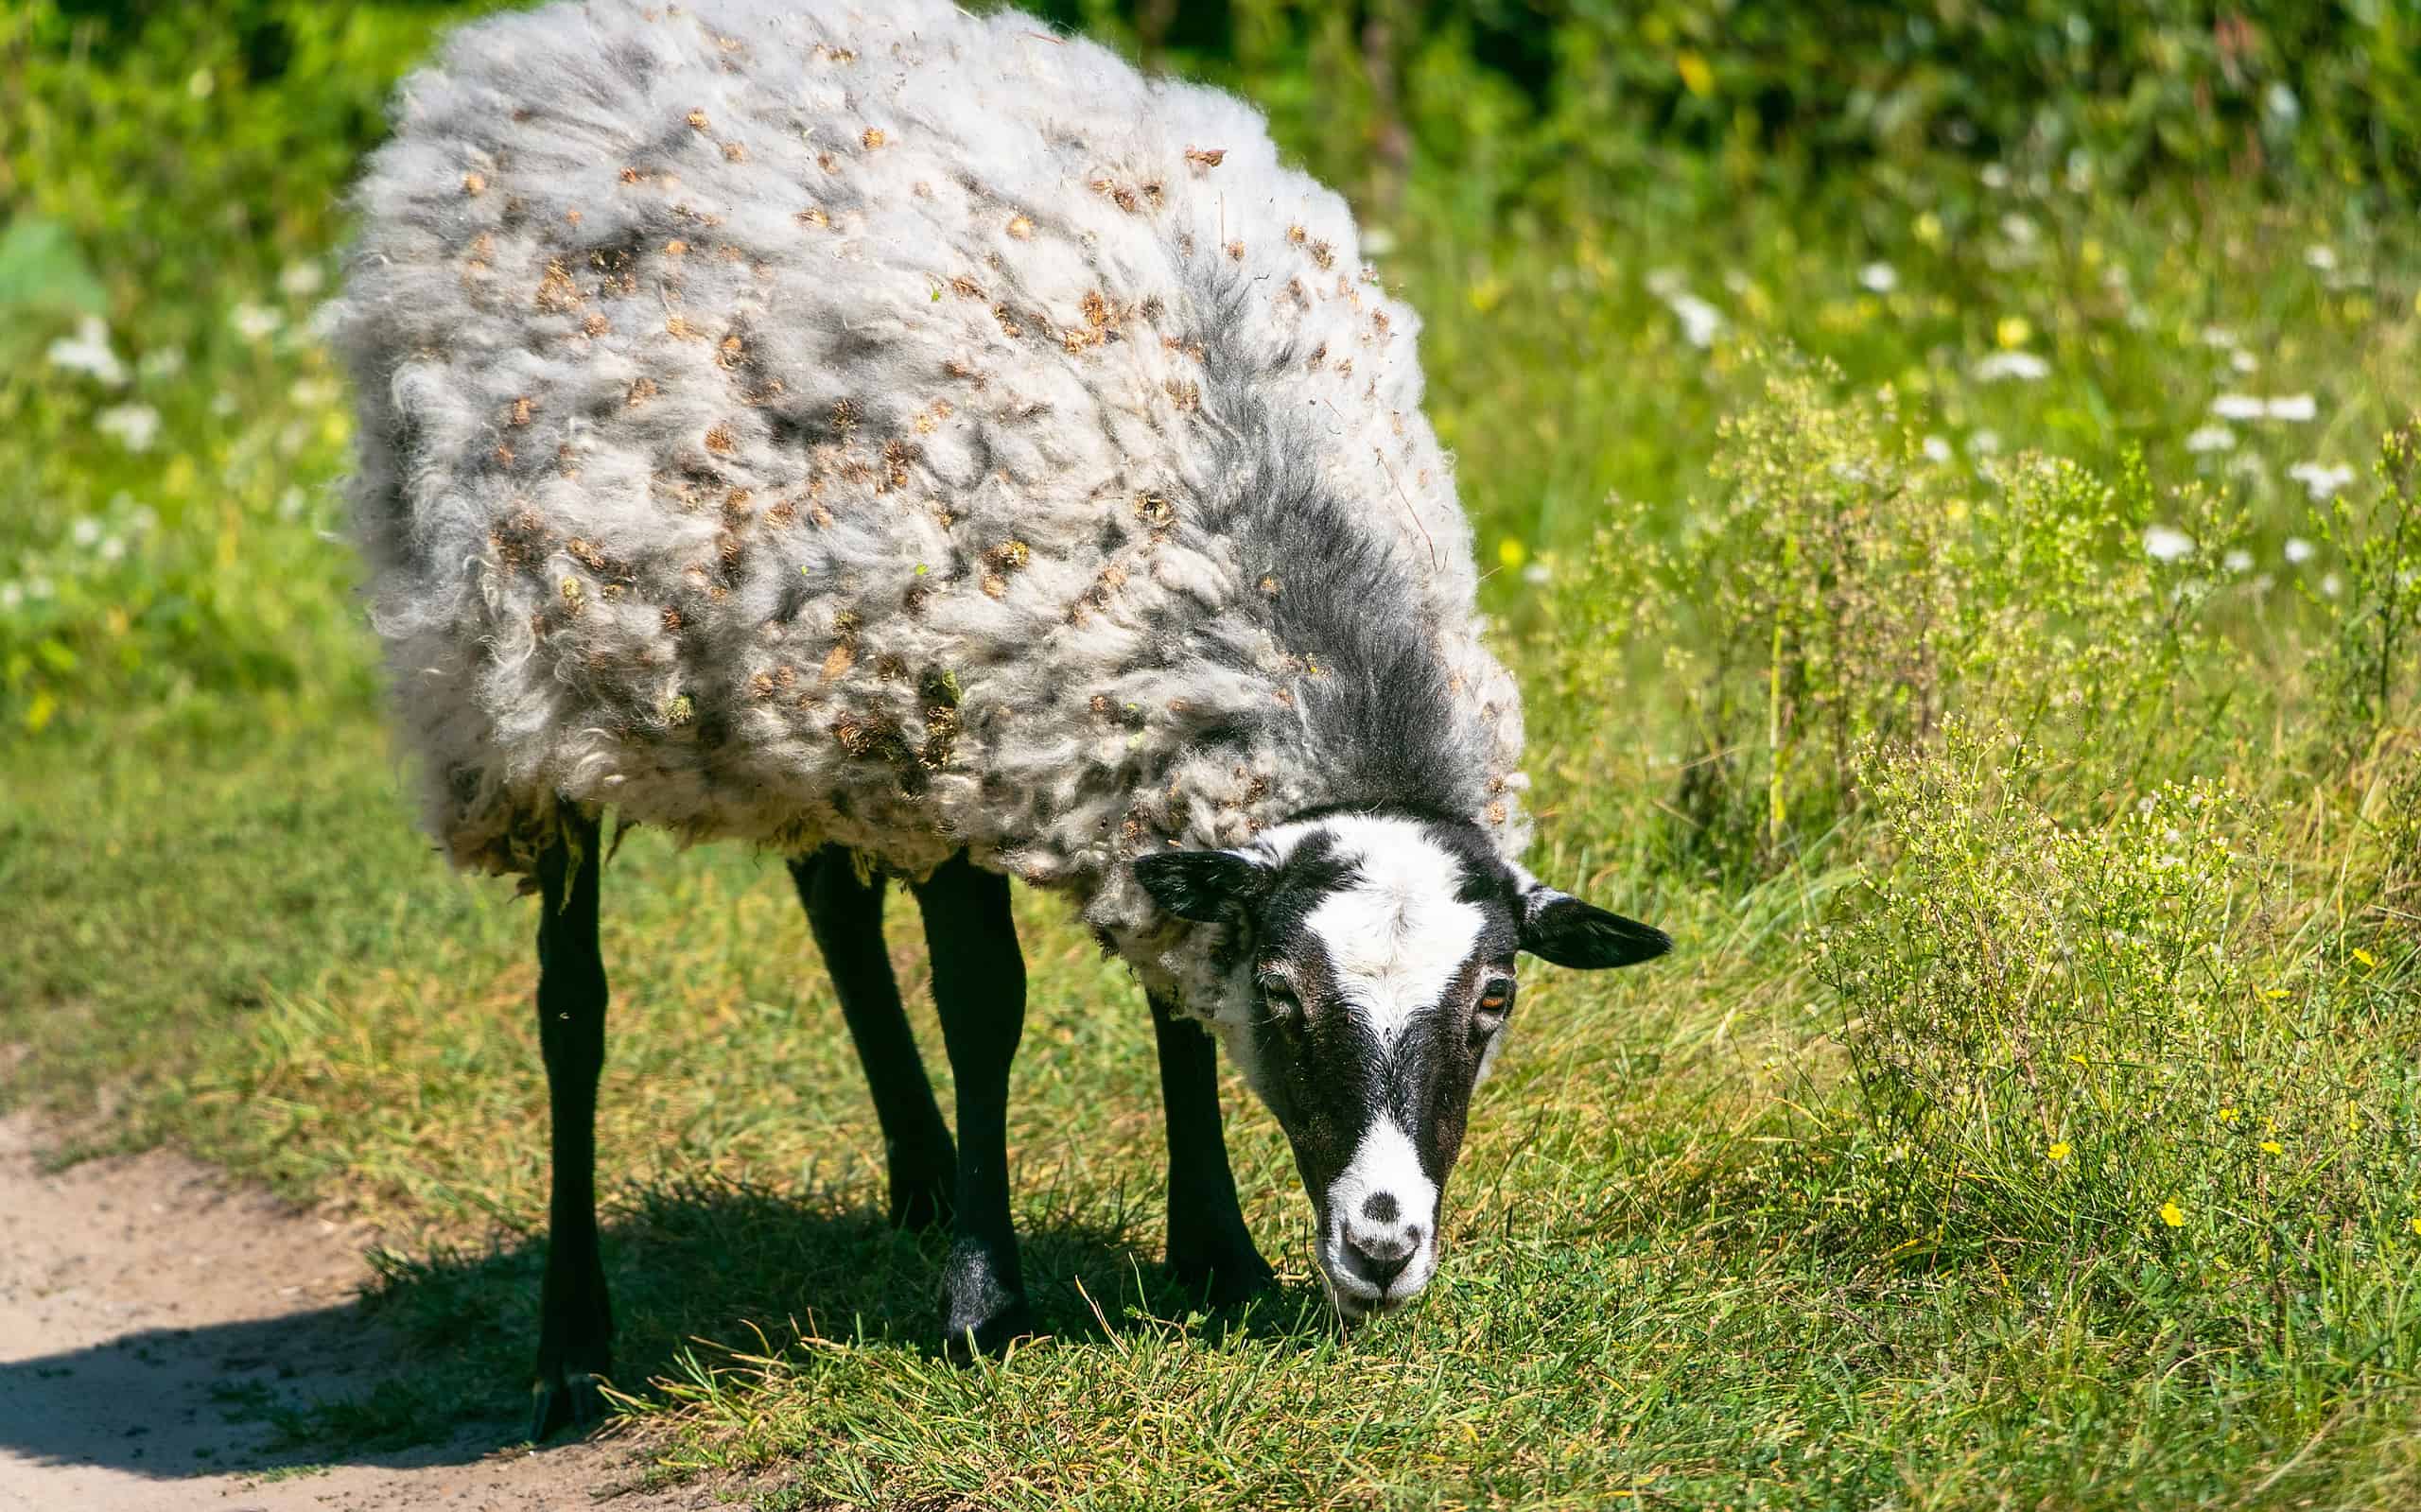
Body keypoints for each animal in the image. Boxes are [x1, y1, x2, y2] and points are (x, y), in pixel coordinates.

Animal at [334, 0, 1670, 1437]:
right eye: (1281, 991)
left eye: (1495, 999)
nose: (1381, 1246)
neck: (1254, 527)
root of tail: (508, 48)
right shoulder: (969, 751)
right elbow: (988, 1001)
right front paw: (987, 1302)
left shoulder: (1103, 761)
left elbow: (1166, 1001)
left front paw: (1218, 1256)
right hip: (525, 694)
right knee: (572, 1007)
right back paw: (573, 1349)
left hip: (818, 691)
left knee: (834, 909)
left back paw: (918, 1172)